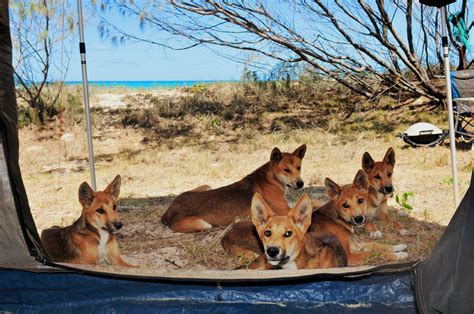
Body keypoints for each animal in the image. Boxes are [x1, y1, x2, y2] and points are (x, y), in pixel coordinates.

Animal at [161, 145, 306, 233]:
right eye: (286, 170)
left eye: (299, 167)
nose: (301, 183)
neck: (272, 178)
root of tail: (169, 210)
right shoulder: (284, 210)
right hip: (204, 224)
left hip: (206, 186)